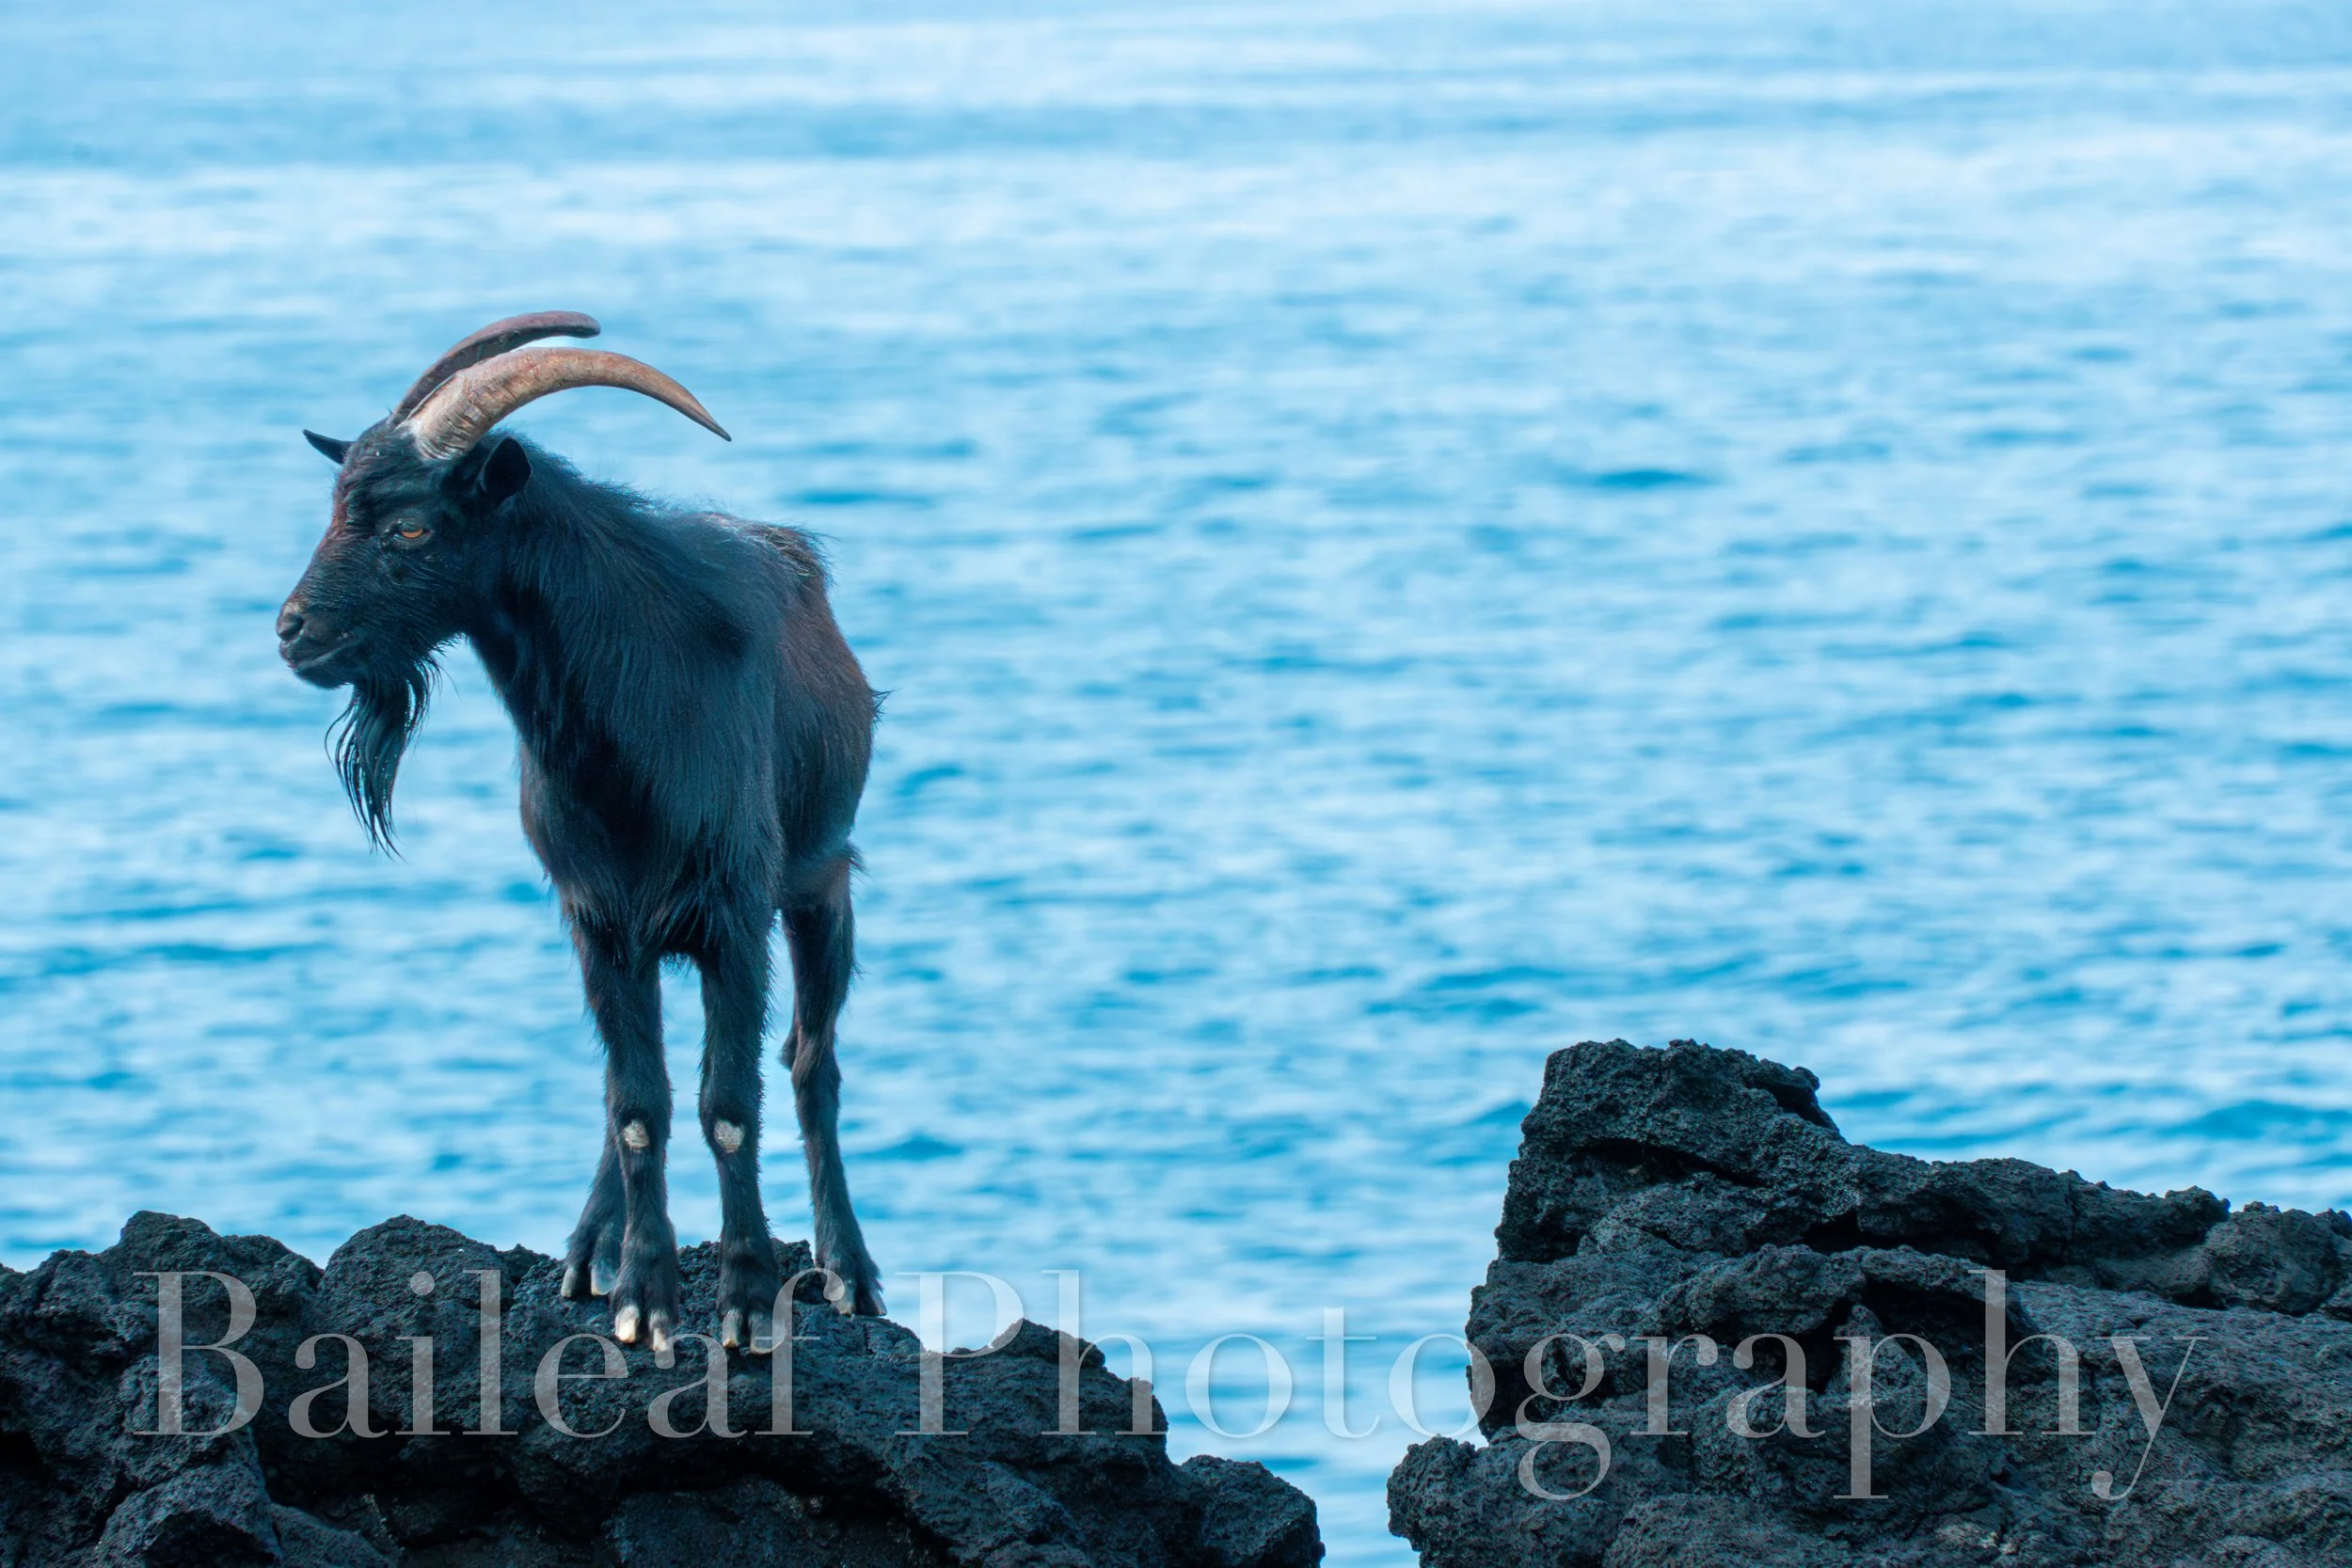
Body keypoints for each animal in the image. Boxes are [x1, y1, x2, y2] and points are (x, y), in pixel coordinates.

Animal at [277, 312, 885, 1359]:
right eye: (336, 510)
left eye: (409, 524)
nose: (292, 628)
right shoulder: (598, 916)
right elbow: (637, 1106)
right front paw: (642, 1297)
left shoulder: (733, 916)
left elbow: (731, 1104)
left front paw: (746, 1303)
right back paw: (591, 1248)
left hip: (821, 884)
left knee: (814, 1063)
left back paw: (848, 1269)